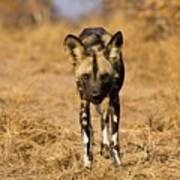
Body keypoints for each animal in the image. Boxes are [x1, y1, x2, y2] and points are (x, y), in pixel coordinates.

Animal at [64, 27, 124, 167]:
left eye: (105, 76)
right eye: (86, 76)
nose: (95, 94)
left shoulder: (114, 102)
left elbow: (114, 137)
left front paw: (117, 161)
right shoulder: (84, 103)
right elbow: (86, 136)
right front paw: (87, 163)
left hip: (105, 104)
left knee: (104, 120)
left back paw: (105, 149)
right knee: (92, 128)